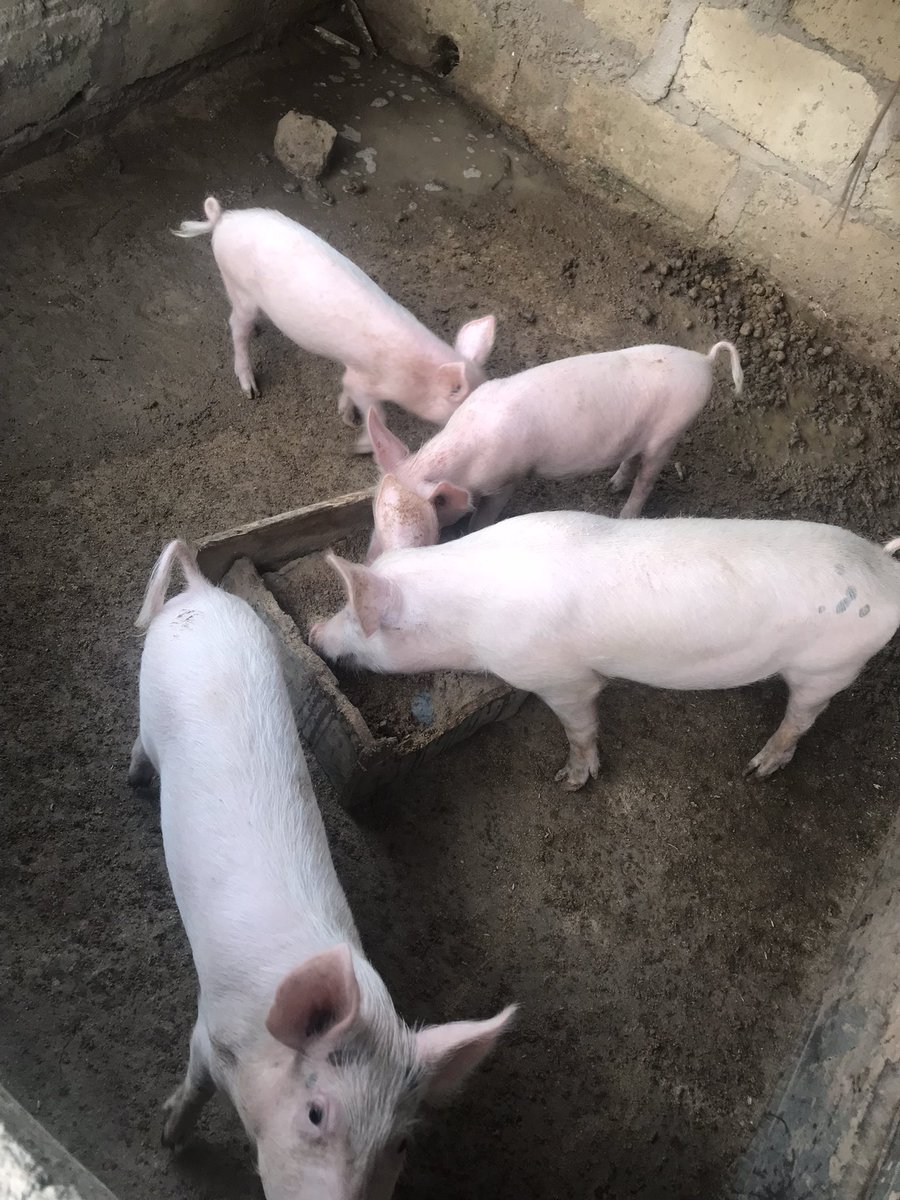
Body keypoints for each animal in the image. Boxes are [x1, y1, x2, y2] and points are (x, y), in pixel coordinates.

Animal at [130, 539, 515, 1198]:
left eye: (401, 1144)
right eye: (315, 1113)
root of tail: (201, 592)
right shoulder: (210, 1030)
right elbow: (196, 1085)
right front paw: (170, 1141)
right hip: (148, 693)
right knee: (137, 742)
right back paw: (134, 784)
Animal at [174, 198, 496, 452]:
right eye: (464, 412)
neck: (415, 376)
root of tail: (223, 219)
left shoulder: (352, 373)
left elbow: (345, 387)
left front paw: (345, 415)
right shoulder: (367, 380)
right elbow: (377, 412)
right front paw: (358, 443)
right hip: (239, 289)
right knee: (235, 327)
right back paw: (250, 389)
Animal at [310, 511, 900, 791]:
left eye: (358, 620)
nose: (316, 632)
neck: (466, 618)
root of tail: (883, 565)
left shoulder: (558, 677)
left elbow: (580, 723)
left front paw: (569, 782)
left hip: (829, 665)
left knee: (802, 717)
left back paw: (758, 768)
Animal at [363, 342, 743, 557]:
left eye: (420, 533)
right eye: (375, 521)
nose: (370, 562)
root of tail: (703, 361)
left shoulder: (507, 479)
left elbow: (486, 516)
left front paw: (473, 530)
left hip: (670, 431)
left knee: (648, 478)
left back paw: (624, 514)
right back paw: (612, 486)